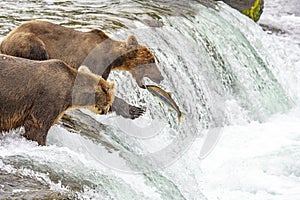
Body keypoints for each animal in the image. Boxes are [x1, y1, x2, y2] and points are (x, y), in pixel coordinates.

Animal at [0, 20, 164, 119]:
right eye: (151, 61)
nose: (161, 77)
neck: (112, 57)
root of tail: (4, 40)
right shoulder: (95, 61)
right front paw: (134, 110)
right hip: (29, 41)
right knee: (39, 52)